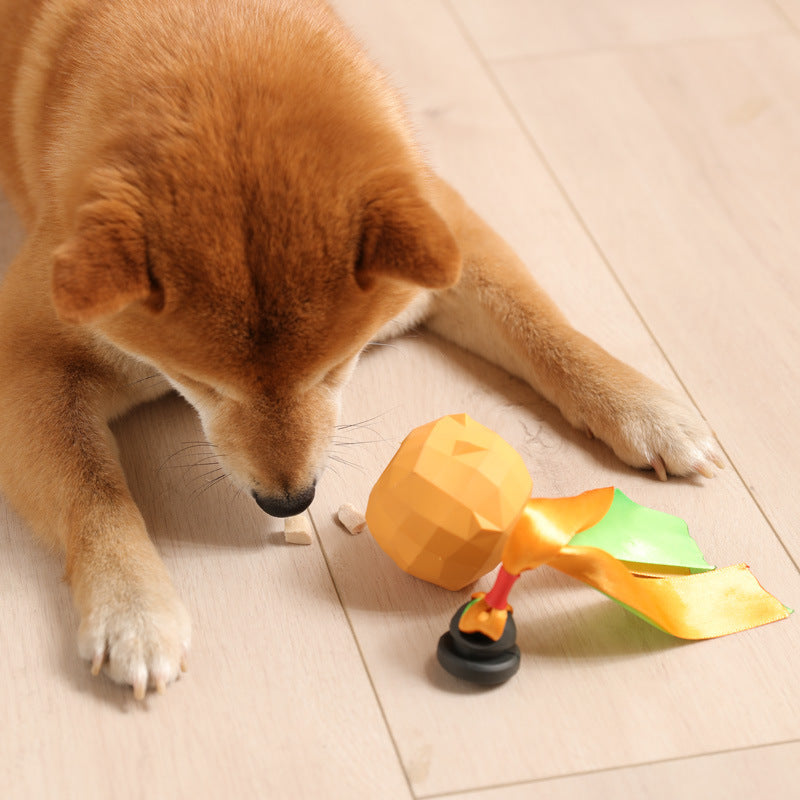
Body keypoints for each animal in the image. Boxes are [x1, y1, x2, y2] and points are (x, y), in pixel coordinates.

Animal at [0, 0, 720, 700]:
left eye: (335, 368)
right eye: (198, 384)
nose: (287, 503)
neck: (207, 26)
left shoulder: (447, 232)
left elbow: (540, 327)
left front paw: (646, 410)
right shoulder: (27, 360)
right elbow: (94, 494)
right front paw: (132, 611)